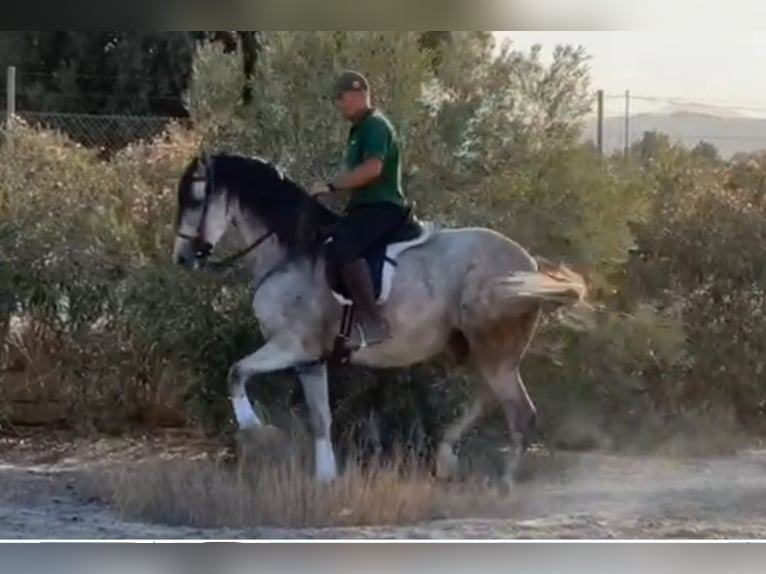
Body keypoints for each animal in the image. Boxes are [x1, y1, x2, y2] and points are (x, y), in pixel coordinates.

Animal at [172, 153, 588, 486]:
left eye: (195, 198)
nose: (182, 258)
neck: (291, 253)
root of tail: (528, 264)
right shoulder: (311, 360)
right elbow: (320, 418)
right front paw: (326, 480)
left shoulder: (292, 345)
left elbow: (236, 371)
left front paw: (253, 427)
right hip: (473, 348)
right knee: (486, 398)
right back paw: (447, 457)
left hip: (493, 347)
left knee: (519, 413)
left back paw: (504, 484)